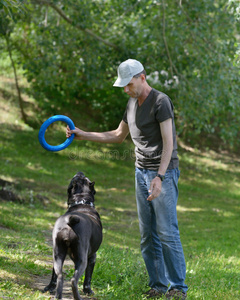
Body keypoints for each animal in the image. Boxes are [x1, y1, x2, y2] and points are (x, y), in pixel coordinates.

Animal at [43, 171, 102, 300]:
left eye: (79, 177)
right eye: (83, 177)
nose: (80, 172)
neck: (81, 201)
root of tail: (70, 221)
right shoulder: (92, 257)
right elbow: (88, 278)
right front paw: (88, 291)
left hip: (58, 254)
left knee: (59, 276)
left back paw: (57, 295)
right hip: (82, 260)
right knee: (73, 281)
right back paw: (78, 297)